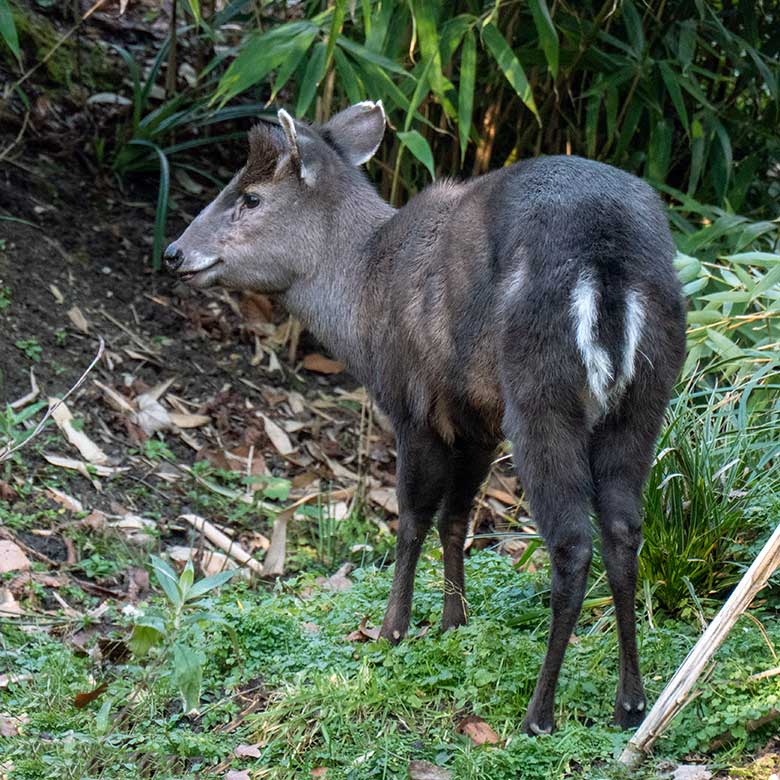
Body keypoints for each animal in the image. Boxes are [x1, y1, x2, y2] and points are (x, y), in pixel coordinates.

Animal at [168, 100, 684, 736]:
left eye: (252, 196)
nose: (175, 252)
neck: (365, 296)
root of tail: (609, 260)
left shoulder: (413, 406)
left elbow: (412, 517)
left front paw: (392, 629)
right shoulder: (476, 418)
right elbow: (456, 517)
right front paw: (452, 621)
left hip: (541, 396)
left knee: (571, 542)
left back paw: (539, 713)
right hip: (641, 401)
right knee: (623, 530)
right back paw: (631, 703)